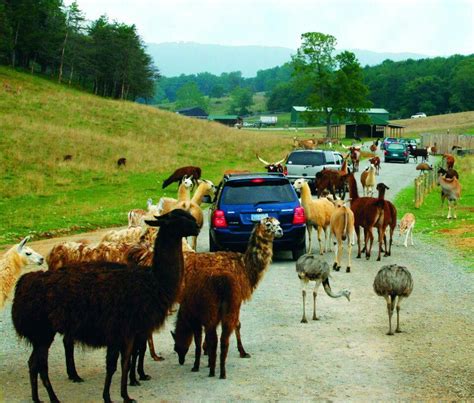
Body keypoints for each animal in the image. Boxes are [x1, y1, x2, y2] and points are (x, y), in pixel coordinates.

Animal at [11, 210, 200, 402]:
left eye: (189, 216)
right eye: (179, 219)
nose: (198, 227)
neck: (154, 281)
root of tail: (24, 285)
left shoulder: (130, 331)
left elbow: (125, 362)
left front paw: (126, 393)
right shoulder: (119, 330)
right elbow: (114, 365)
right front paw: (111, 396)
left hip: (42, 333)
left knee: (34, 362)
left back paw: (40, 396)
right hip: (42, 332)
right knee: (41, 364)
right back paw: (54, 397)